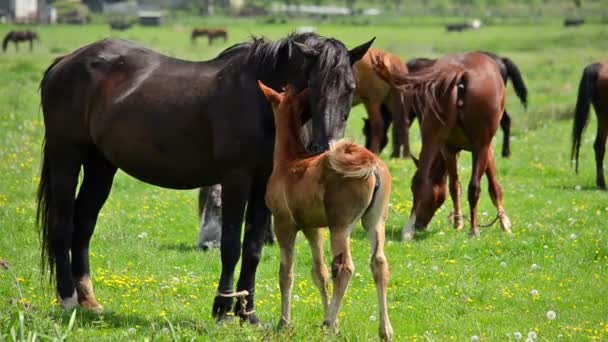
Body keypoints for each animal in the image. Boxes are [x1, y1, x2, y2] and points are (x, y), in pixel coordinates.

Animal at [36, 34, 376, 324]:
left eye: (349, 88)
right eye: (313, 86)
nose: (326, 147)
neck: (259, 101)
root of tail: (64, 62)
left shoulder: (262, 186)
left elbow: (253, 248)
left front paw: (248, 315)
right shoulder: (236, 180)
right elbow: (231, 246)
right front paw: (222, 309)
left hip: (101, 165)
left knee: (84, 225)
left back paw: (89, 301)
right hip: (66, 156)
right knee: (62, 224)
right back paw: (68, 299)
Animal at [258, 82, 394, 340]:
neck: (290, 160)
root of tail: (370, 163)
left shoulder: (283, 224)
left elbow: (286, 273)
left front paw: (284, 323)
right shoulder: (313, 228)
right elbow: (319, 272)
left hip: (340, 225)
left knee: (344, 268)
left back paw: (328, 323)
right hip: (375, 222)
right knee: (379, 264)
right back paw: (385, 331)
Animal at [366, 51, 528, 158]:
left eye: (366, 131)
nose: (369, 149)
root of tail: (501, 59)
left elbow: (399, 127)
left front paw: (396, 154)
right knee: (506, 122)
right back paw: (505, 153)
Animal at [372, 52, 510, 240]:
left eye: (434, 199)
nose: (420, 225)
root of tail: (459, 73)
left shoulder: (448, 150)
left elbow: (453, 186)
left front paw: (457, 222)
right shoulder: (486, 149)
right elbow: (493, 186)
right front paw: (505, 223)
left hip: (431, 137)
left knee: (420, 180)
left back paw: (408, 230)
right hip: (480, 146)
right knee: (474, 187)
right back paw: (474, 230)